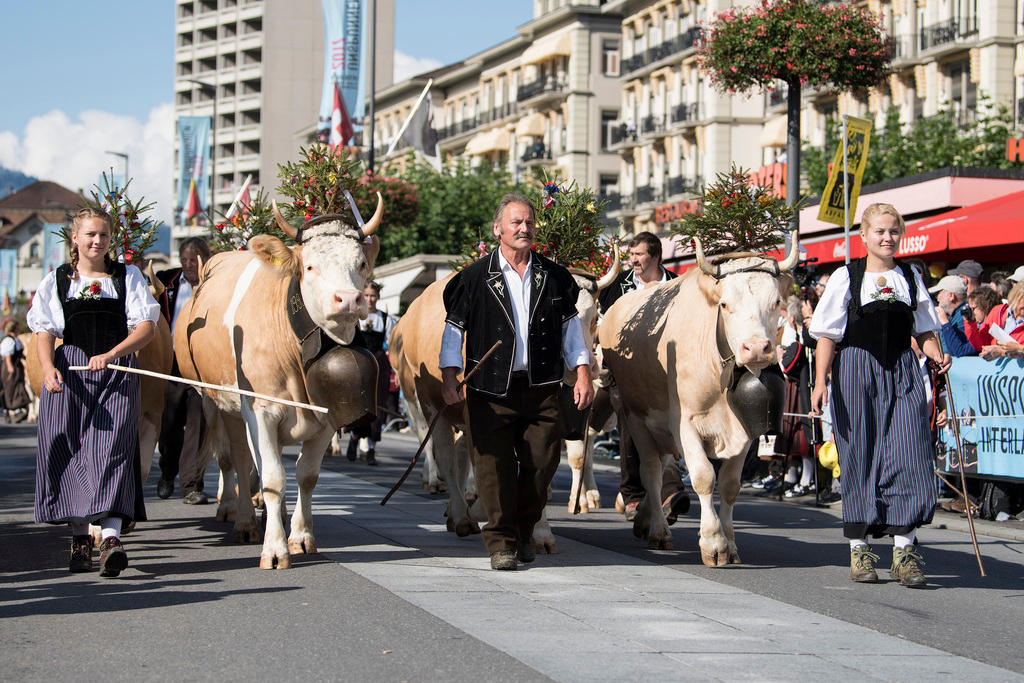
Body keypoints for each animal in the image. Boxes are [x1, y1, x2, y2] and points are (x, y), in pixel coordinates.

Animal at [176, 194, 385, 569]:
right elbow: (271, 477)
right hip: (216, 403)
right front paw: (274, 548)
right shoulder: (261, 411)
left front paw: (300, 537)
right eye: (310, 267)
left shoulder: (328, 416)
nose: (349, 299)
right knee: (234, 460)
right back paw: (239, 516)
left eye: (361, 263)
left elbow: (306, 476)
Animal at [598, 237, 798, 569]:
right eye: (725, 304)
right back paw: (658, 529)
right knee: (651, 469)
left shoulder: (744, 430)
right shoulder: (686, 422)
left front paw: (731, 543)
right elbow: (703, 476)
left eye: (776, 302)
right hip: (635, 415)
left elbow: (729, 485)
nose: (757, 348)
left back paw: (650, 515)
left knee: (665, 465)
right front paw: (713, 543)